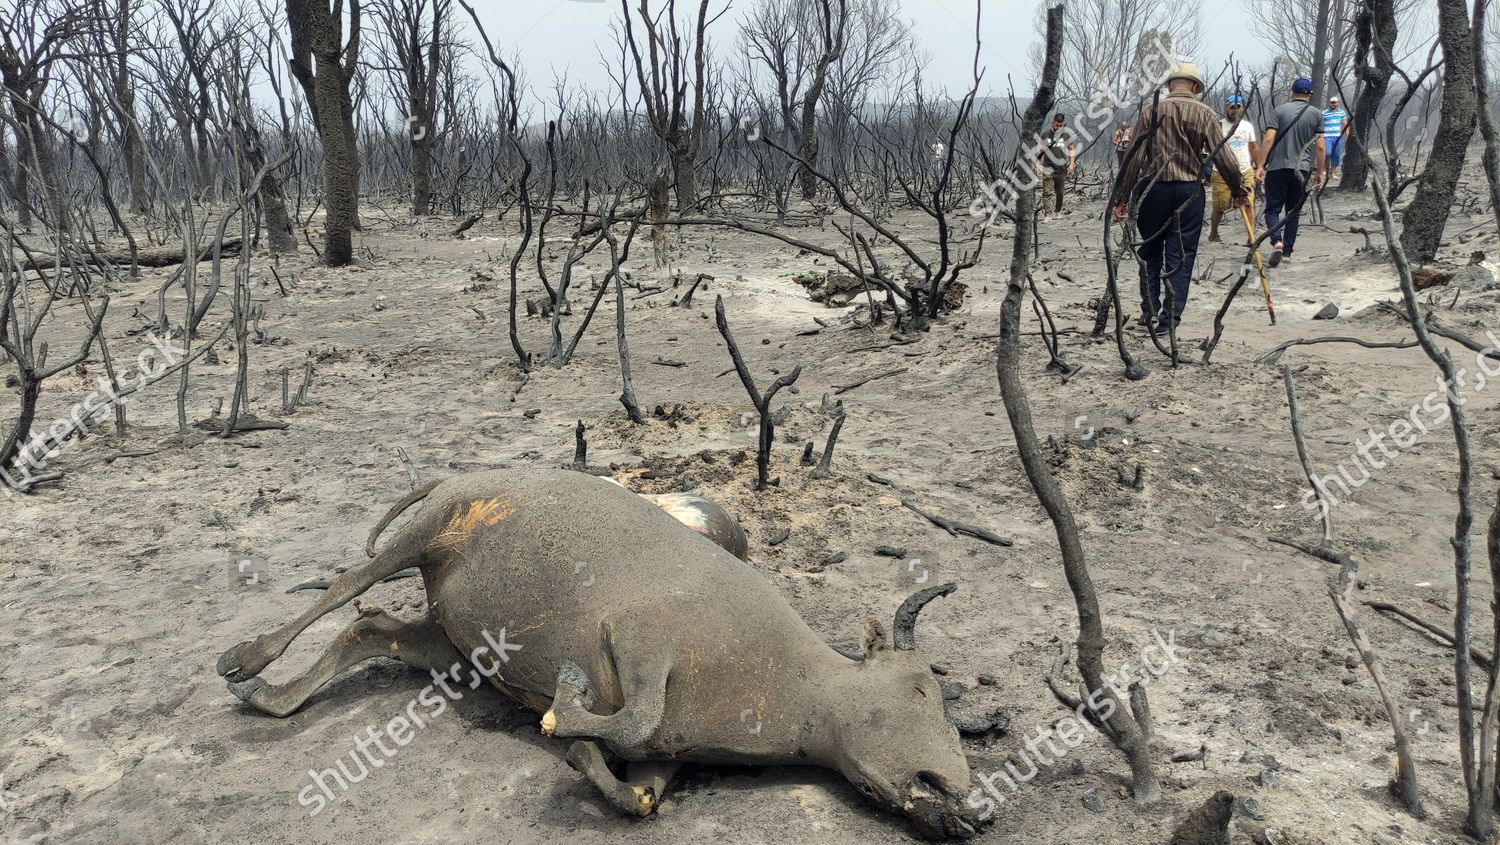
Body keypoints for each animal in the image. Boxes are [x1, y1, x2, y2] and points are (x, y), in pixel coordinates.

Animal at [214, 468, 984, 840]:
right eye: (920, 689)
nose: (975, 806)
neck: (800, 685)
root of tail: (459, 478)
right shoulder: (643, 638)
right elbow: (632, 715)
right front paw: (566, 714)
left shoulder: (668, 753)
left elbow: (640, 794)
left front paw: (587, 756)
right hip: (423, 534)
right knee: (347, 585)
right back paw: (245, 661)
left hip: (450, 638)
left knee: (367, 632)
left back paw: (273, 697)